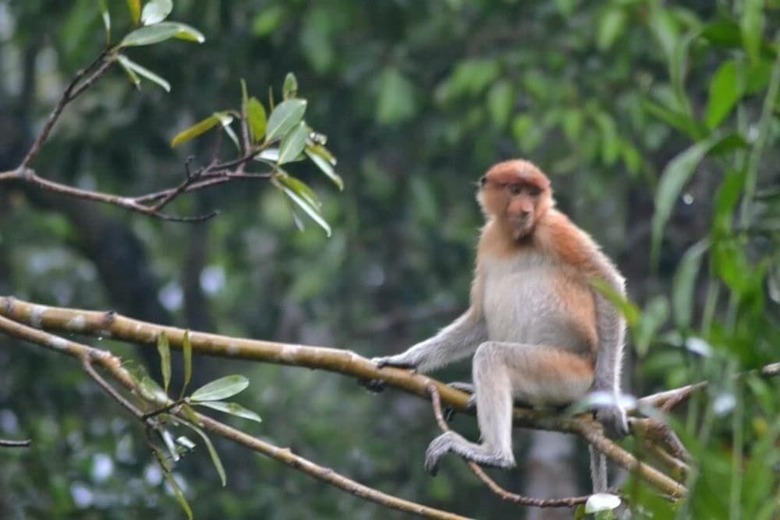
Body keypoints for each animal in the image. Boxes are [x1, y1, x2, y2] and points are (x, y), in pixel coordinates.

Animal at [373, 159, 628, 492]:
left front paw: (609, 404)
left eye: (533, 193)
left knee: (492, 355)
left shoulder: (553, 228)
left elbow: (607, 282)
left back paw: (494, 454)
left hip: (568, 373)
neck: (514, 238)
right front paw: (403, 361)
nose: (526, 210)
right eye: (516, 190)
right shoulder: (488, 239)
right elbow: (479, 318)